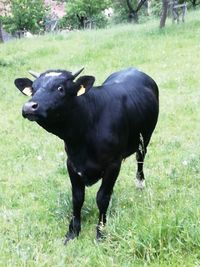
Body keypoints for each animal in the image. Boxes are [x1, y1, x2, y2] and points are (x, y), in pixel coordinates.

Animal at [14, 67, 159, 245]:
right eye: (33, 89)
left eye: (60, 88)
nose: (29, 106)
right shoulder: (72, 164)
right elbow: (77, 197)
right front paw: (72, 232)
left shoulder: (113, 164)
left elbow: (102, 197)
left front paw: (101, 232)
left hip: (144, 138)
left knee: (140, 158)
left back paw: (140, 183)